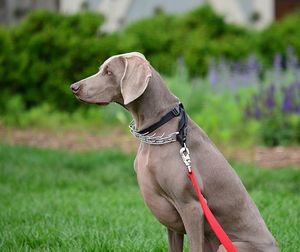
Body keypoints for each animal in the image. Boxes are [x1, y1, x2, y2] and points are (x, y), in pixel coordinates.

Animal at [70, 52, 278, 251]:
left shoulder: (191, 206)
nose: (73, 87)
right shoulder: (171, 219)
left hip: (226, 245)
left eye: (109, 72)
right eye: (101, 69)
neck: (159, 127)